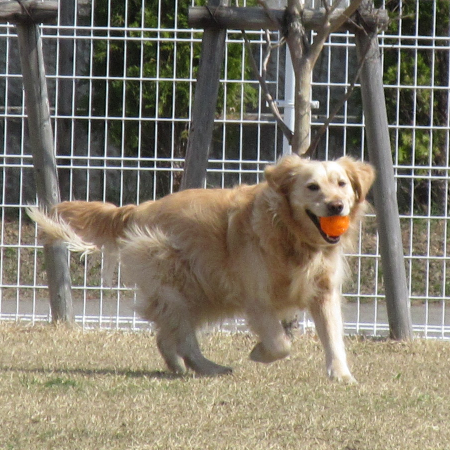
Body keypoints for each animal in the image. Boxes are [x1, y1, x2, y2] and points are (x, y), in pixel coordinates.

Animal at [28, 155, 375, 382]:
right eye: (312, 186)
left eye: (342, 184)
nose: (336, 206)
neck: (293, 236)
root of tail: (138, 209)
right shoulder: (257, 298)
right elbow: (281, 343)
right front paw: (259, 352)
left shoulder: (324, 292)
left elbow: (333, 336)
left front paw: (341, 376)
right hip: (183, 285)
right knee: (182, 337)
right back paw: (208, 368)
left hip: (201, 293)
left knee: (166, 334)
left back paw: (179, 367)